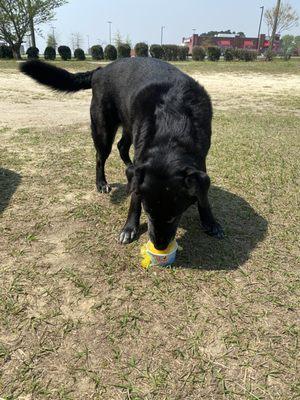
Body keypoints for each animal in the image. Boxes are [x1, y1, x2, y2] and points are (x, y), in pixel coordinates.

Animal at [20, 57, 223, 248]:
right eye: (148, 211)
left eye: (174, 216)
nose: (159, 245)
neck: (173, 127)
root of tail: (100, 70)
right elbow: (134, 199)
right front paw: (129, 228)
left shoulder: (200, 161)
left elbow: (203, 196)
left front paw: (210, 221)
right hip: (103, 129)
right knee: (100, 157)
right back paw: (101, 183)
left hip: (129, 126)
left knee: (122, 147)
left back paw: (127, 167)